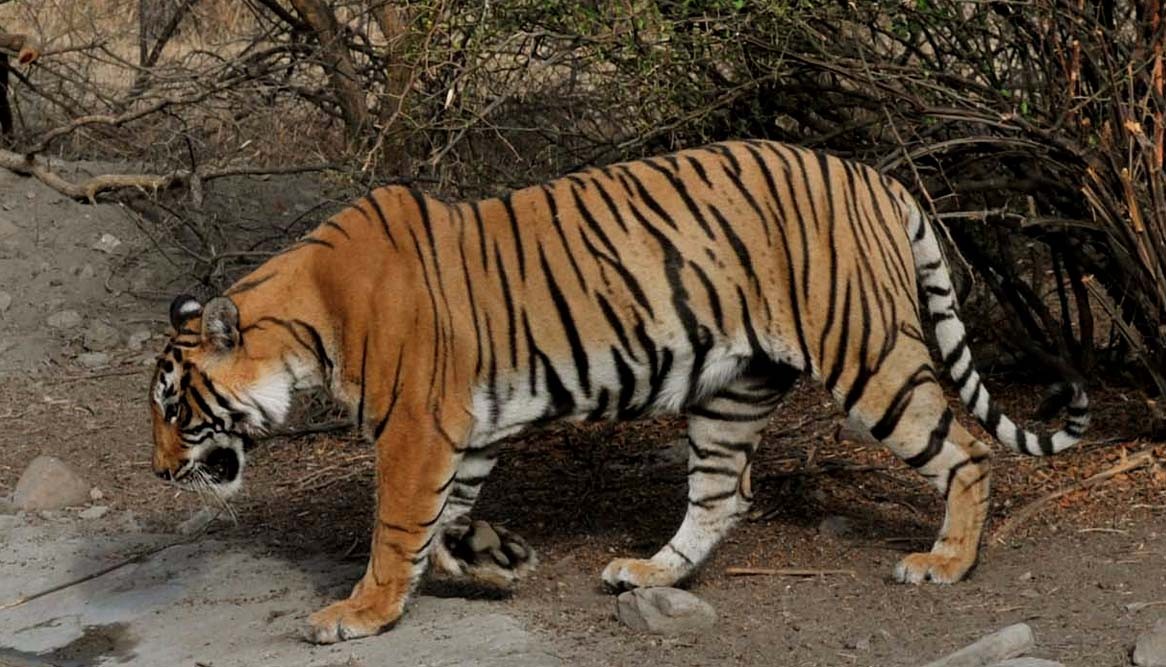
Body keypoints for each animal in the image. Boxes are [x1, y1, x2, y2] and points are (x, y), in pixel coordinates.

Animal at [150, 138, 1086, 643]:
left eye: (173, 408)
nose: (160, 472)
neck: (305, 320)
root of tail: (878, 176)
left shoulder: (417, 430)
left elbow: (395, 531)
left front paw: (360, 612)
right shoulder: (469, 429)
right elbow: (444, 521)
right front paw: (496, 562)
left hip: (867, 357)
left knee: (967, 450)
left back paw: (945, 562)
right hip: (733, 389)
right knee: (722, 493)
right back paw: (646, 570)